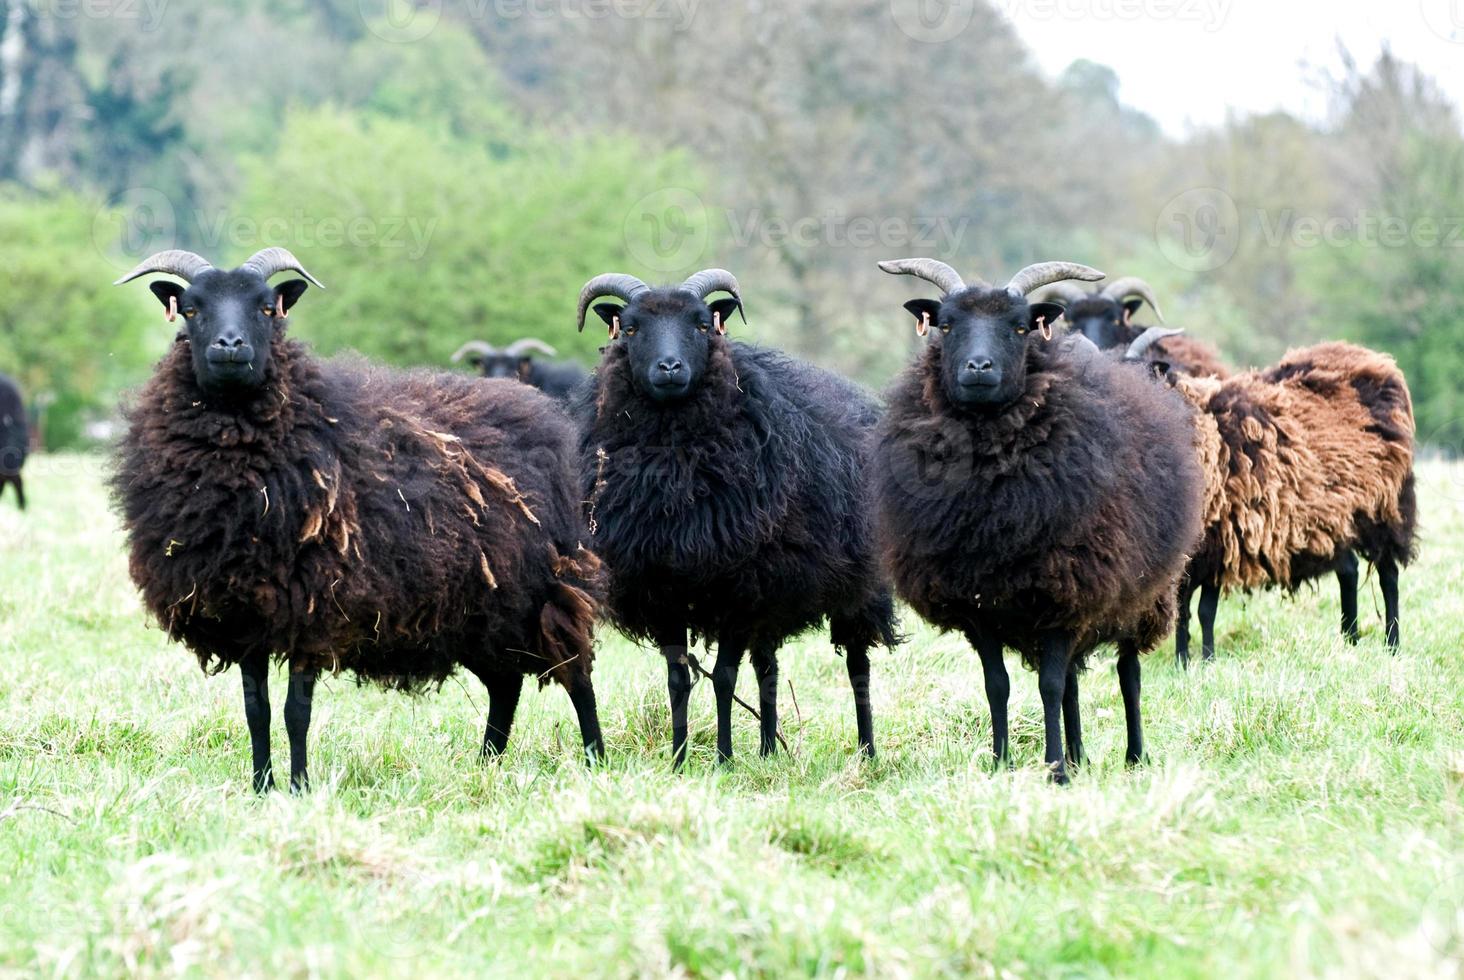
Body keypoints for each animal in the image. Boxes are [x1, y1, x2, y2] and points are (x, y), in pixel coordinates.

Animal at [570, 269, 899, 767]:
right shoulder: (664, 589)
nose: (669, 368)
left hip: (855, 585)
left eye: (702, 324)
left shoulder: (736, 589)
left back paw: (867, 751)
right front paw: (679, 760)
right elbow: (678, 680)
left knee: (857, 664)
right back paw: (767, 750)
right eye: (630, 328)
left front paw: (722, 759)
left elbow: (724, 678)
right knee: (768, 667)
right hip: (773, 592)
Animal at [874, 258, 1205, 783]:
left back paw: (1133, 756)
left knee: (1128, 675)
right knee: (1072, 681)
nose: (979, 368)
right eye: (945, 325)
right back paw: (1080, 754)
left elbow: (1049, 686)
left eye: (1020, 326)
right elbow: (999, 685)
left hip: (1140, 595)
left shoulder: (1064, 594)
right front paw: (1003, 762)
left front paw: (1056, 772)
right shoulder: (979, 606)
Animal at [1148, 338, 1418, 665]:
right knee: (1349, 570)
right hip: (1334, 518)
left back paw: (1392, 645)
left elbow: (1205, 611)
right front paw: (1182, 663)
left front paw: (1208, 660)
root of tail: (1377, 360)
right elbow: (1183, 613)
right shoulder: (1190, 559)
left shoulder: (1222, 544)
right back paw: (1350, 640)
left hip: (1385, 510)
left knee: (1388, 576)